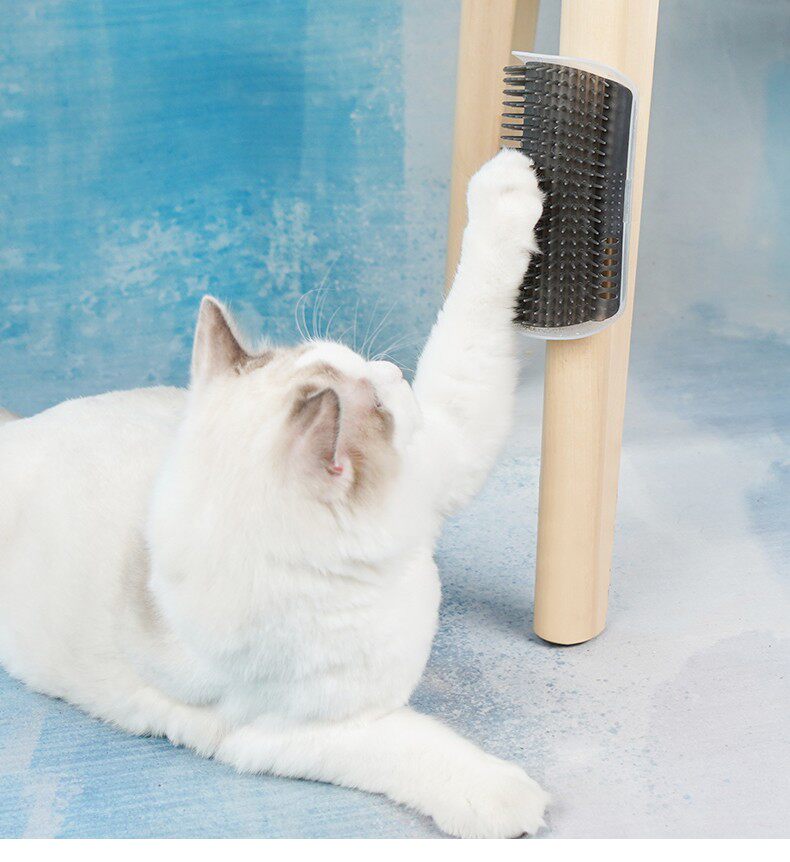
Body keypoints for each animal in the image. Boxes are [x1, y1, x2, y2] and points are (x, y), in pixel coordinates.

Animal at [0, 149, 548, 838]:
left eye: (364, 366)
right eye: (380, 404)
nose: (393, 375)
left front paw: (506, 183)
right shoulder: (307, 733)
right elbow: (423, 749)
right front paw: (508, 802)